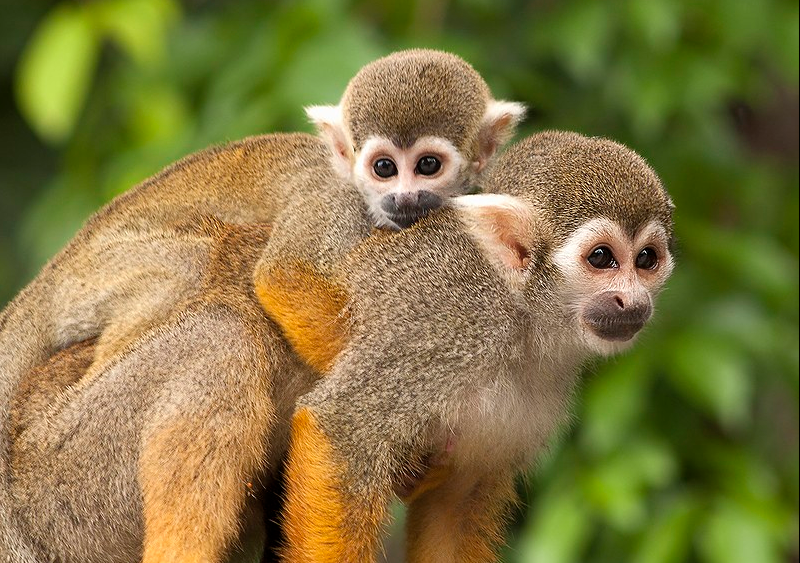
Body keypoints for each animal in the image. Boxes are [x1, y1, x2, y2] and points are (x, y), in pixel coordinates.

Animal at [0, 49, 525, 561]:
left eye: (428, 165)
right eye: (384, 168)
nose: (404, 198)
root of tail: (48, 277)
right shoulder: (334, 202)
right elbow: (284, 276)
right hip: (102, 275)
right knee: (199, 281)